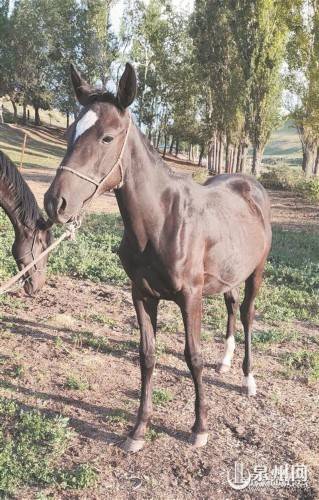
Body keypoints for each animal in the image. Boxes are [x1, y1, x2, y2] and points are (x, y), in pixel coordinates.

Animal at [44, 62, 272, 454]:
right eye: (71, 131)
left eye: (107, 138)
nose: (56, 203)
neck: (162, 220)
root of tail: (251, 186)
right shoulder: (142, 294)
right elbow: (147, 357)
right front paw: (138, 429)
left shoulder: (190, 297)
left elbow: (193, 357)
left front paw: (200, 428)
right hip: (227, 274)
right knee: (230, 307)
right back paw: (226, 362)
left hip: (255, 273)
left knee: (246, 315)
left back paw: (247, 379)